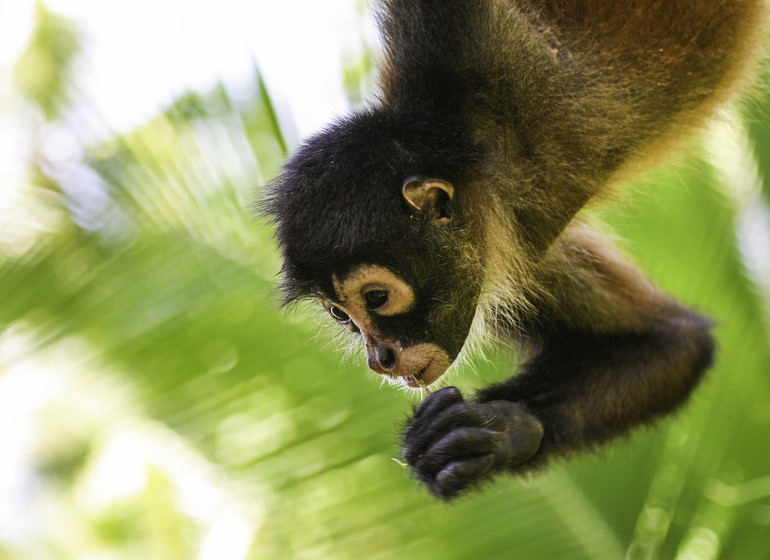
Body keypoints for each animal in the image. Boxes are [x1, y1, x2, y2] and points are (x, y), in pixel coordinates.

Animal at [262, 0, 760, 498]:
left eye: (377, 297)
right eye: (341, 316)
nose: (379, 358)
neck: (478, 147)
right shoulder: (506, 244)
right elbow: (672, 344)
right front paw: (502, 429)